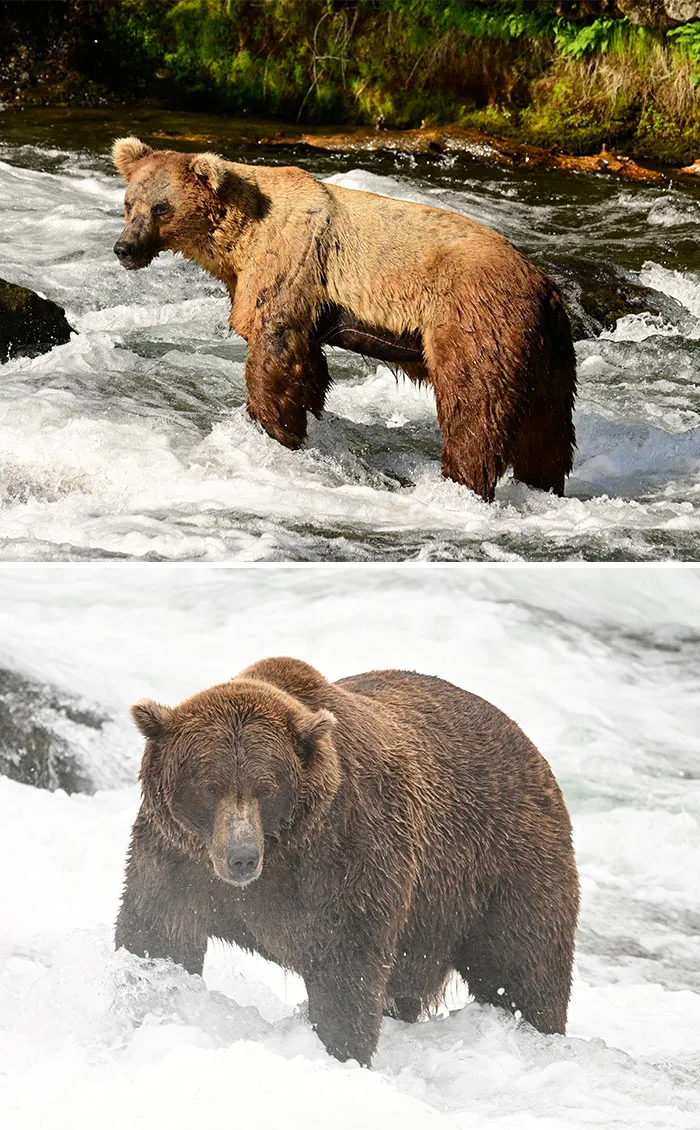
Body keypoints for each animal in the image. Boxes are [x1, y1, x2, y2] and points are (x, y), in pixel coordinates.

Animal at [112, 137, 577, 502]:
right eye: (129, 204)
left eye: (161, 208)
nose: (124, 249)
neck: (238, 241)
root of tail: (545, 286)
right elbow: (308, 366)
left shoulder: (290, 263)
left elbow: (272, 352)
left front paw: (271, 429)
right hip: (548, 351)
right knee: (548, 430)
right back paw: (543, 484)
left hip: (476, 319)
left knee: (475, 407)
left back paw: (461, 482)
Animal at [115, 657, 579, 1066]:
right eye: (209, 786)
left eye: (266, 787)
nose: (241, 858)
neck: (282, 853)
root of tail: (530, 749)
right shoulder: (176, 861)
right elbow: (157, 935)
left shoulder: (346, 859)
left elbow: (345, 970)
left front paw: (340, 1050)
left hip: (500, 871)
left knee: (524, 970)